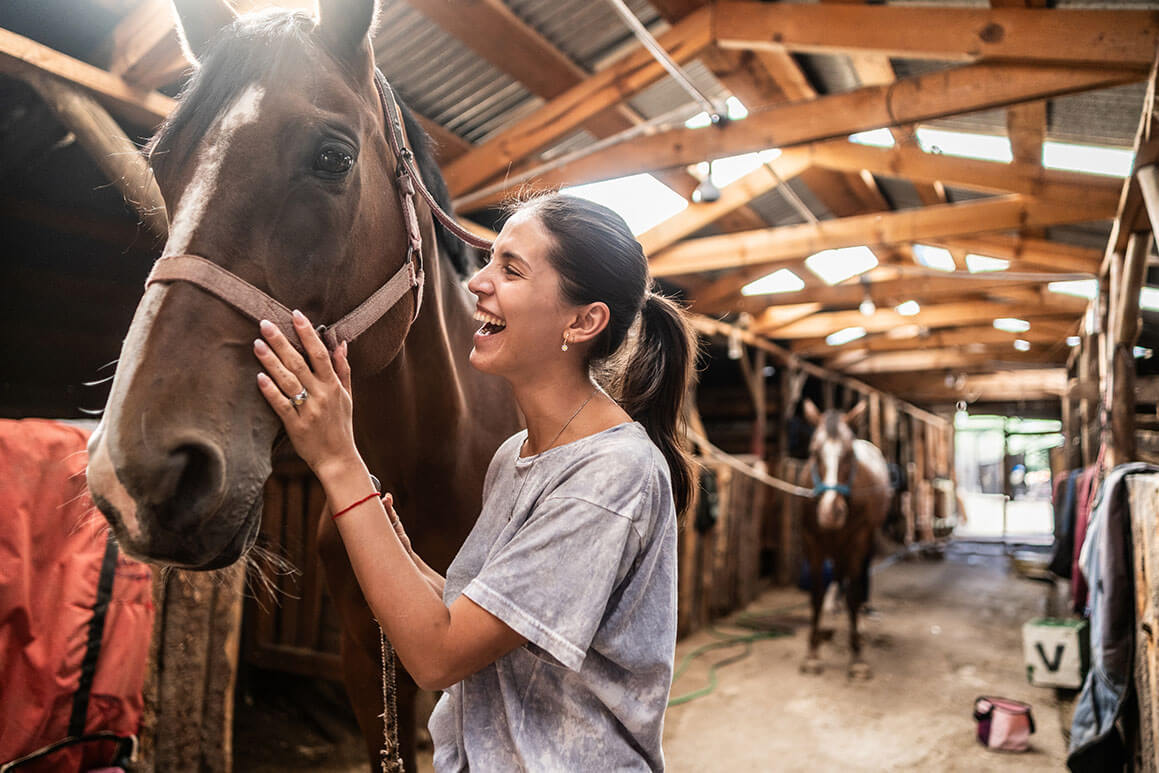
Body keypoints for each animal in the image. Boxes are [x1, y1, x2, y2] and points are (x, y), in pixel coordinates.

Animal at [797, 403, 885, 681]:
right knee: (837, 574)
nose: (831, 512)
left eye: (848, 453)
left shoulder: (858, 540)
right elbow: (815, 594)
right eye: (814, 452)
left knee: (856, 579)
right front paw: (812, 654)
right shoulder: (811, 542)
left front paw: (857, 657)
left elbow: (854, 593)